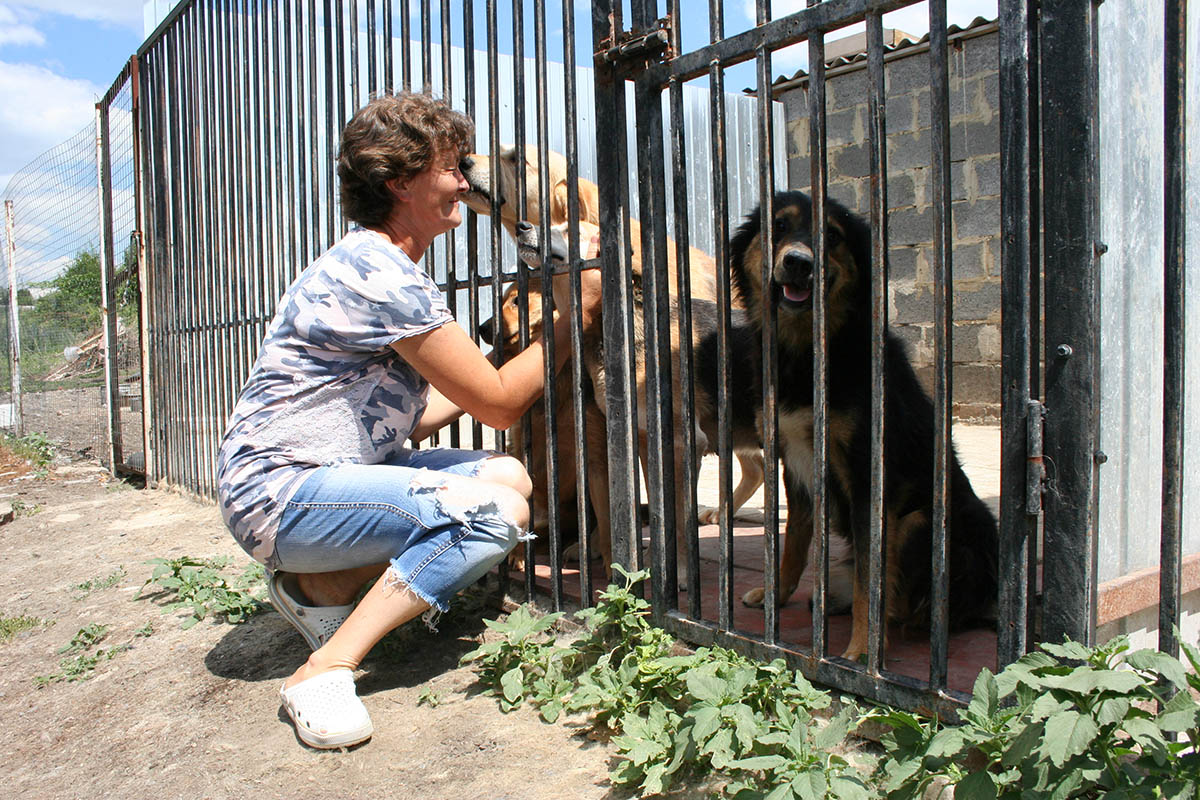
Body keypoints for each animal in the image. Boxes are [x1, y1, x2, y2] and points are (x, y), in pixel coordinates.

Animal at [729, 190, 1003, 662]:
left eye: (833, 235)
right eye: (779, 226)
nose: (799, 263)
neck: (805, 352)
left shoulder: (866, 479)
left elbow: (869, 582)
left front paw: (860, 651)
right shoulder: (793, 464)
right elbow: (793, 540)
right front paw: (774, 596)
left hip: (920, 523)